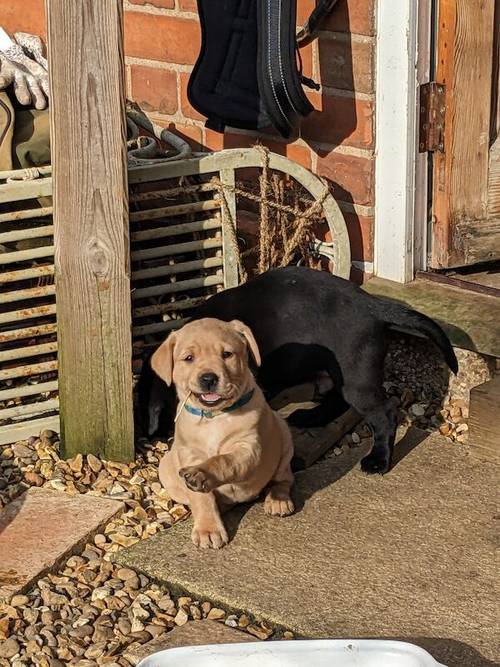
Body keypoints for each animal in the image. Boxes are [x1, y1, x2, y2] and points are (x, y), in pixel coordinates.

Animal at [137, 266, 458, 474]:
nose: (152, 435)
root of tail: (373, 304)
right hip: (337, 373)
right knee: (336, 399)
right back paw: (311, 416)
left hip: (357, 376)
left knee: (384, 412)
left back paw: (378, 460)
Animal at [150, 318, 294, 548]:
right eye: (189, 358)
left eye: (227, 354)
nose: (208, 378)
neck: (214, 417)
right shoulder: (188, 453)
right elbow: (202, 498)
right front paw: (208, 529)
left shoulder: (249, 448)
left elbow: (224, 461)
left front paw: (202, 473)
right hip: (166, 468)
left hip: (283, 435)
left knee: (284, 479)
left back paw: (278, 500)